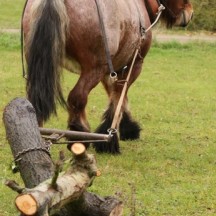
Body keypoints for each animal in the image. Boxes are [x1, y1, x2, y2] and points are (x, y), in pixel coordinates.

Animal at [22, 0, 193, 154]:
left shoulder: (110, 70)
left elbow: (117, 96)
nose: (190, 13)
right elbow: (119, 97)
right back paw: (80, 136)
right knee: (77, 98)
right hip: (94, 69)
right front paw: (111, 137)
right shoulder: (133, 65)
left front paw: (127, 126)